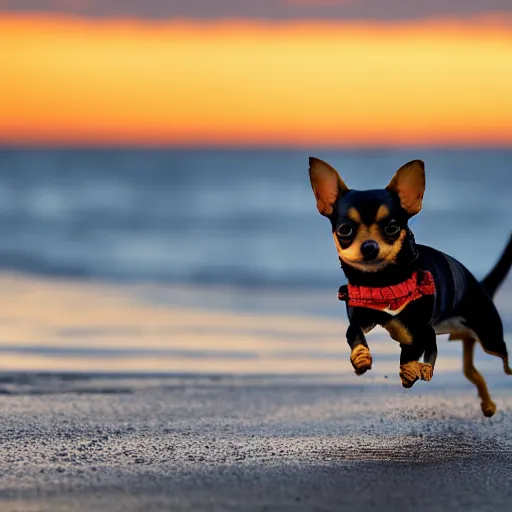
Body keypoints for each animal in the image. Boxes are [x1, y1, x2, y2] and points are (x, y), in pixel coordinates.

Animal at [308, 158, 512, 418]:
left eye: (392, 227)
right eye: (345, 230)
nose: (369, 246)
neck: (382, 282)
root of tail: (481, 286)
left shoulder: (418, 332)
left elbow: (412, 356)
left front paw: (410, 373)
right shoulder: (364, 319)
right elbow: (353, 332)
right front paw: (361, 358)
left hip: (490, 338)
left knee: (505, 363)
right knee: (470, 371)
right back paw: (487, 405)